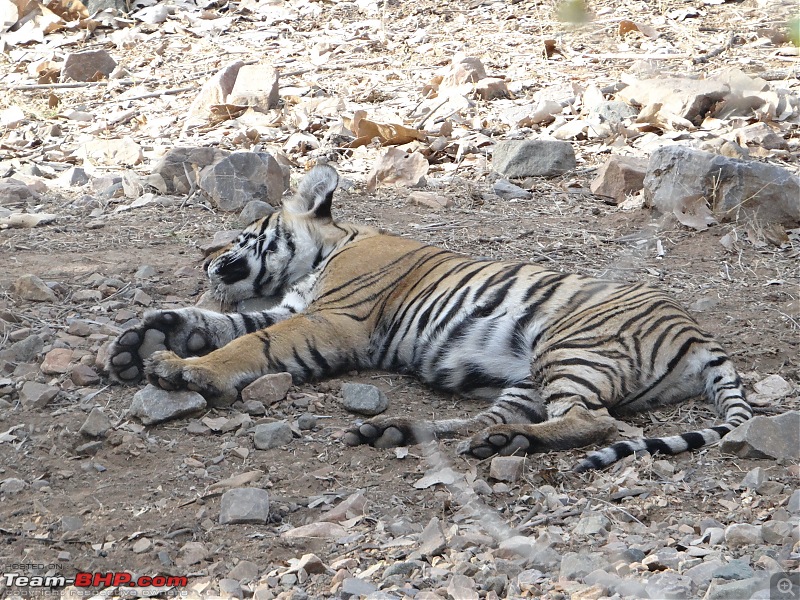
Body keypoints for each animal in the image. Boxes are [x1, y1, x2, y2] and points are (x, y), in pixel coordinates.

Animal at [104, 165, 752, 474]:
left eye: (242, 233)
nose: (204, 261)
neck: (323, 253)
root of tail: (699, 333)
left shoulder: (331, 320)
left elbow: (248, 346)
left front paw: (183, 370)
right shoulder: (294, 307)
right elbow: (223, 325)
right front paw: (143, 337)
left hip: (569, 348)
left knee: (596, 422)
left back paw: (507, 442)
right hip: (529, 377)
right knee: (487, 421)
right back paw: (400, 432)